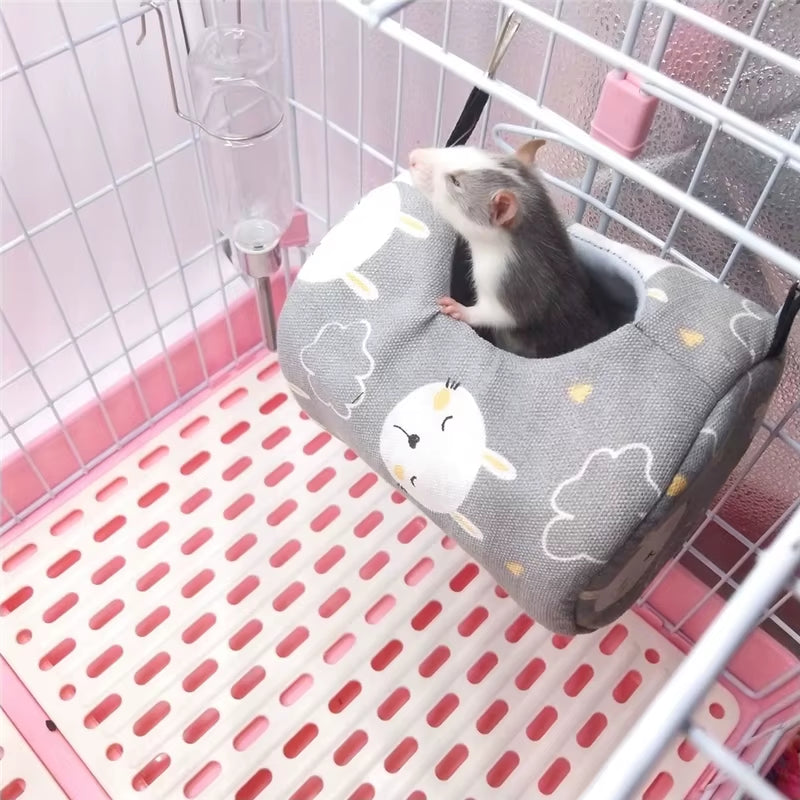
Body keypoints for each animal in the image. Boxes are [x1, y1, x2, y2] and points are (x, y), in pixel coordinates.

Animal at [407, 141, 609, 358]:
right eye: (467, 149)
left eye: (456, 181)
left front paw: (460, 310)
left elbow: (504, 315)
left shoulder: (504, 275)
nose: (413, 157)